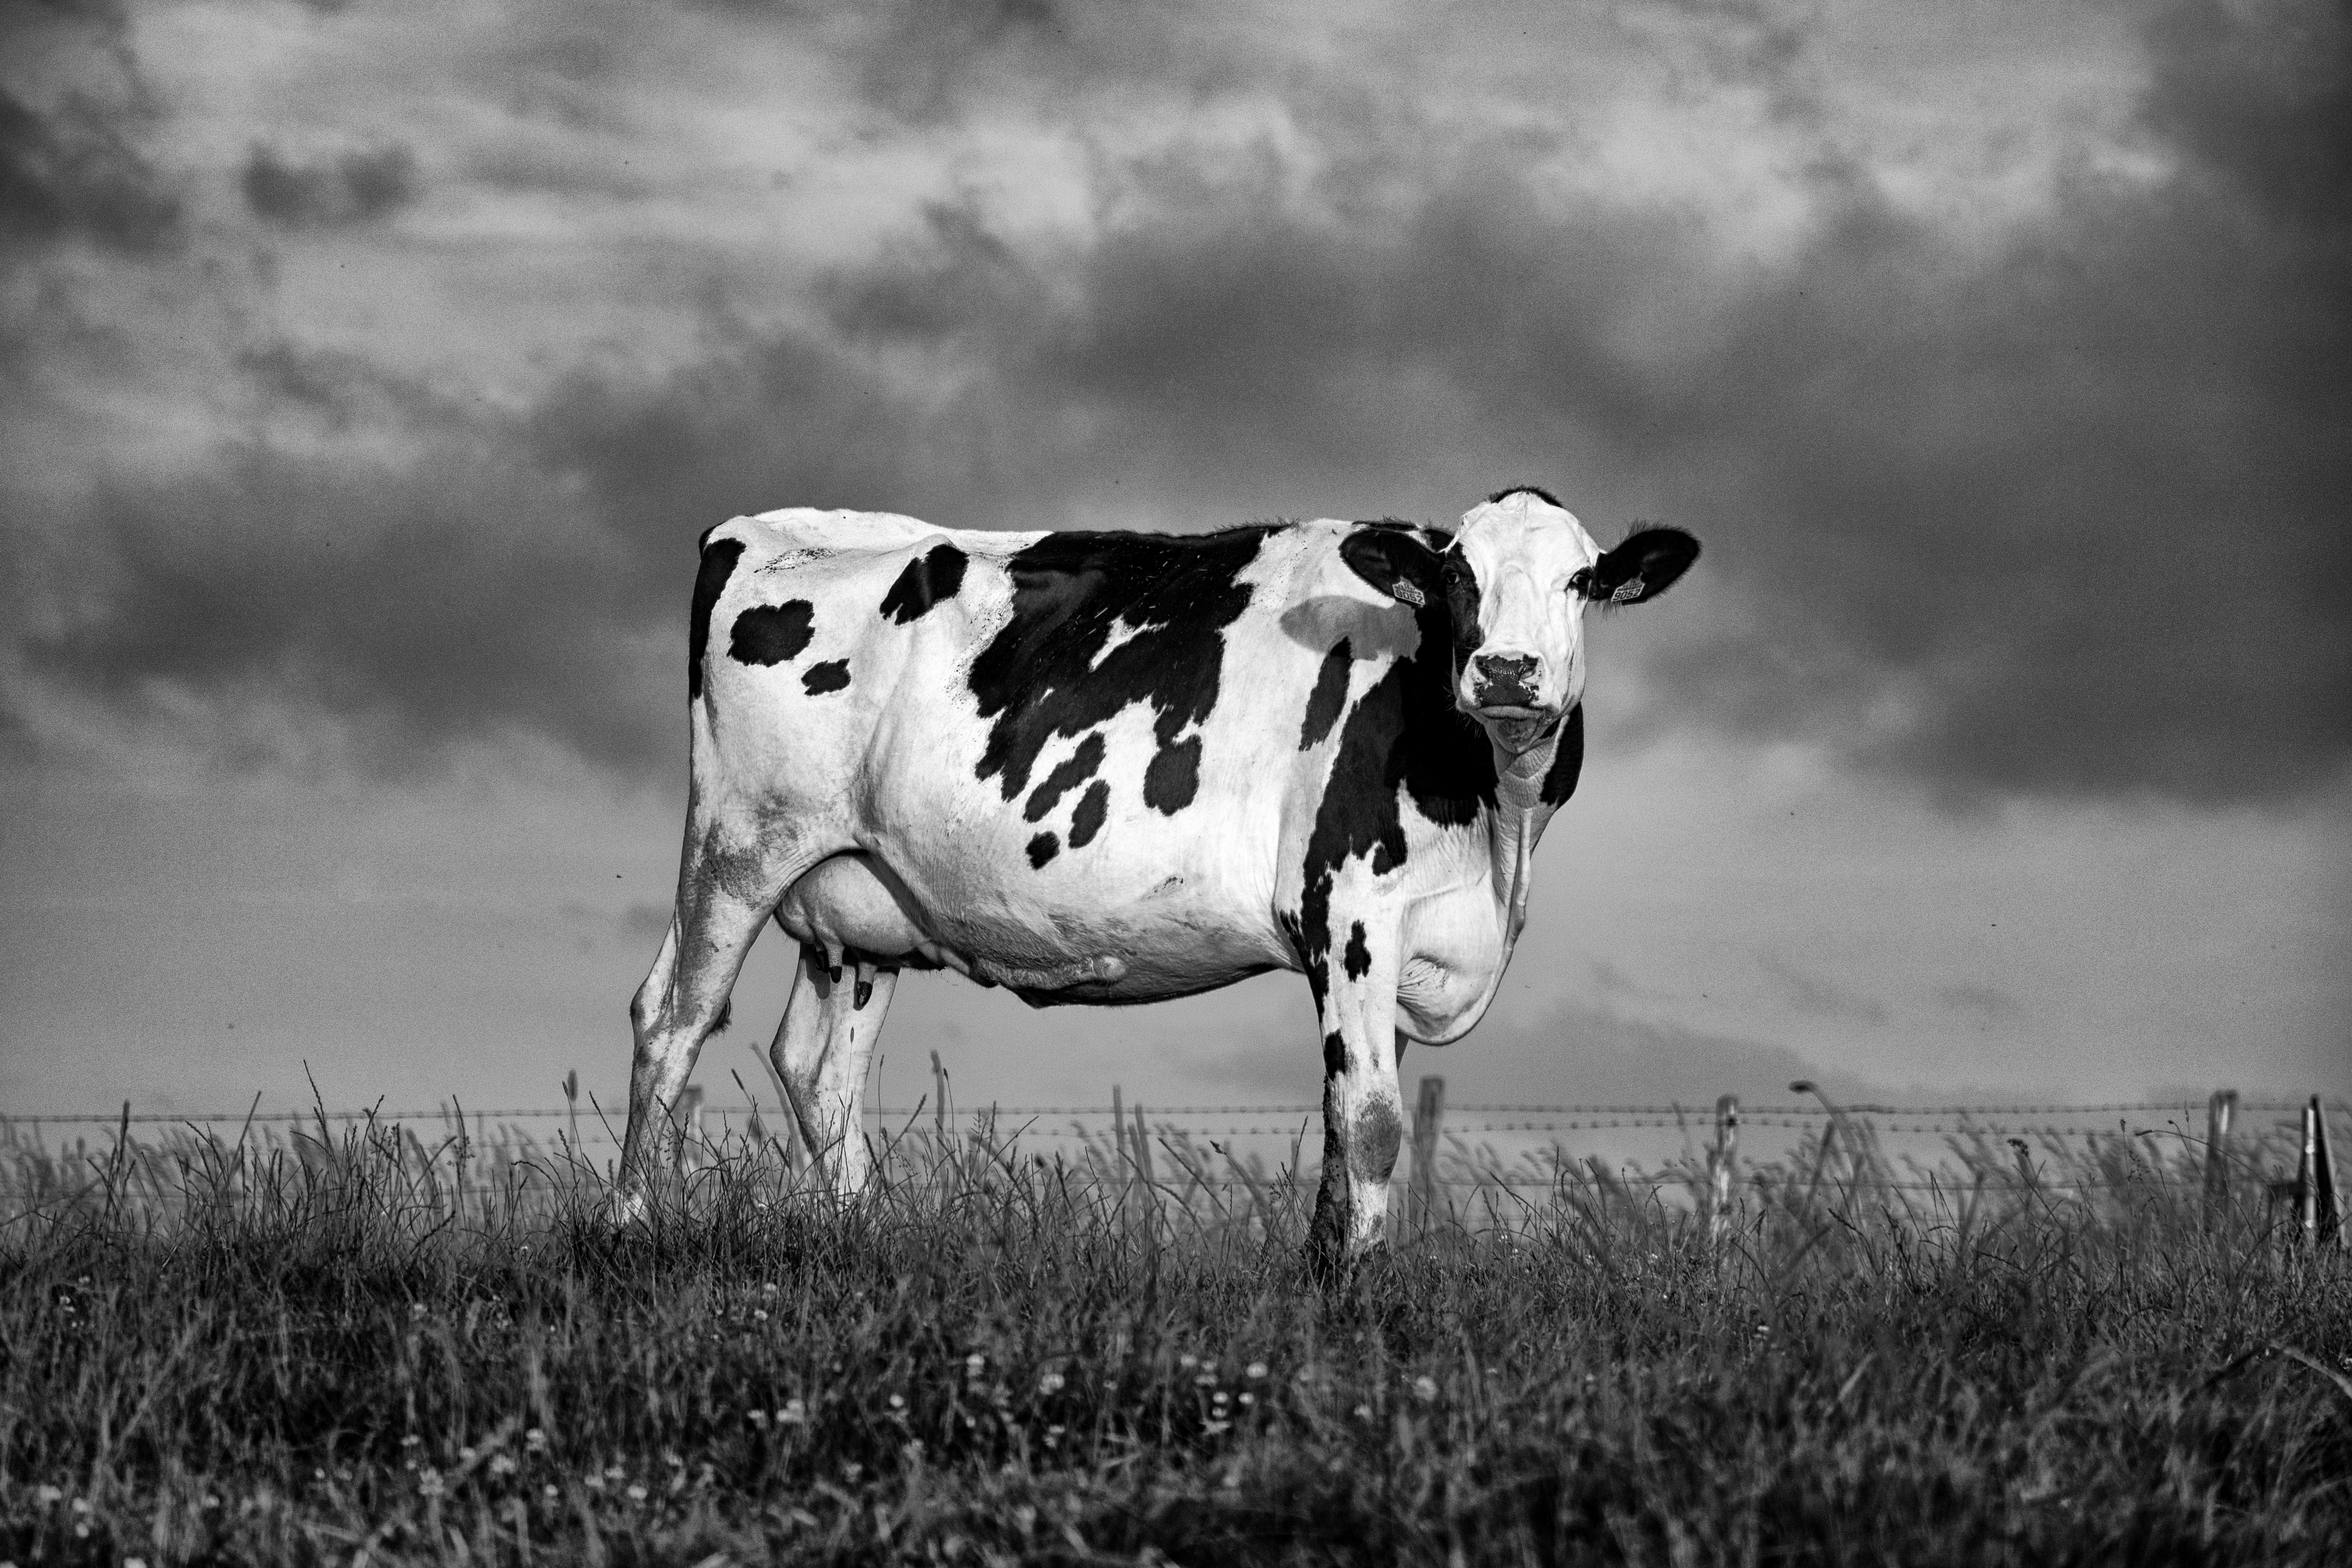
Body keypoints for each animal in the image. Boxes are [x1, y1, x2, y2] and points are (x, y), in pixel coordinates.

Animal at [616, 486, 1698, 1266]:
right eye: (1457, 578)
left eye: (1579, 580)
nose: (1507, 670)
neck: (1497, 832)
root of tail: (760, 526)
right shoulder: (1349, 912)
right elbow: (1375, 1123)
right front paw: (1360, 1296)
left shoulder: (1394, 948)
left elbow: (1344, 1123)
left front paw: (1324, 1276)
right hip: (739, 844)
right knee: (671, 1018)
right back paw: (633, 1227)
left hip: (858, 906)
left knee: (815, 1067)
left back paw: (863, 1238)